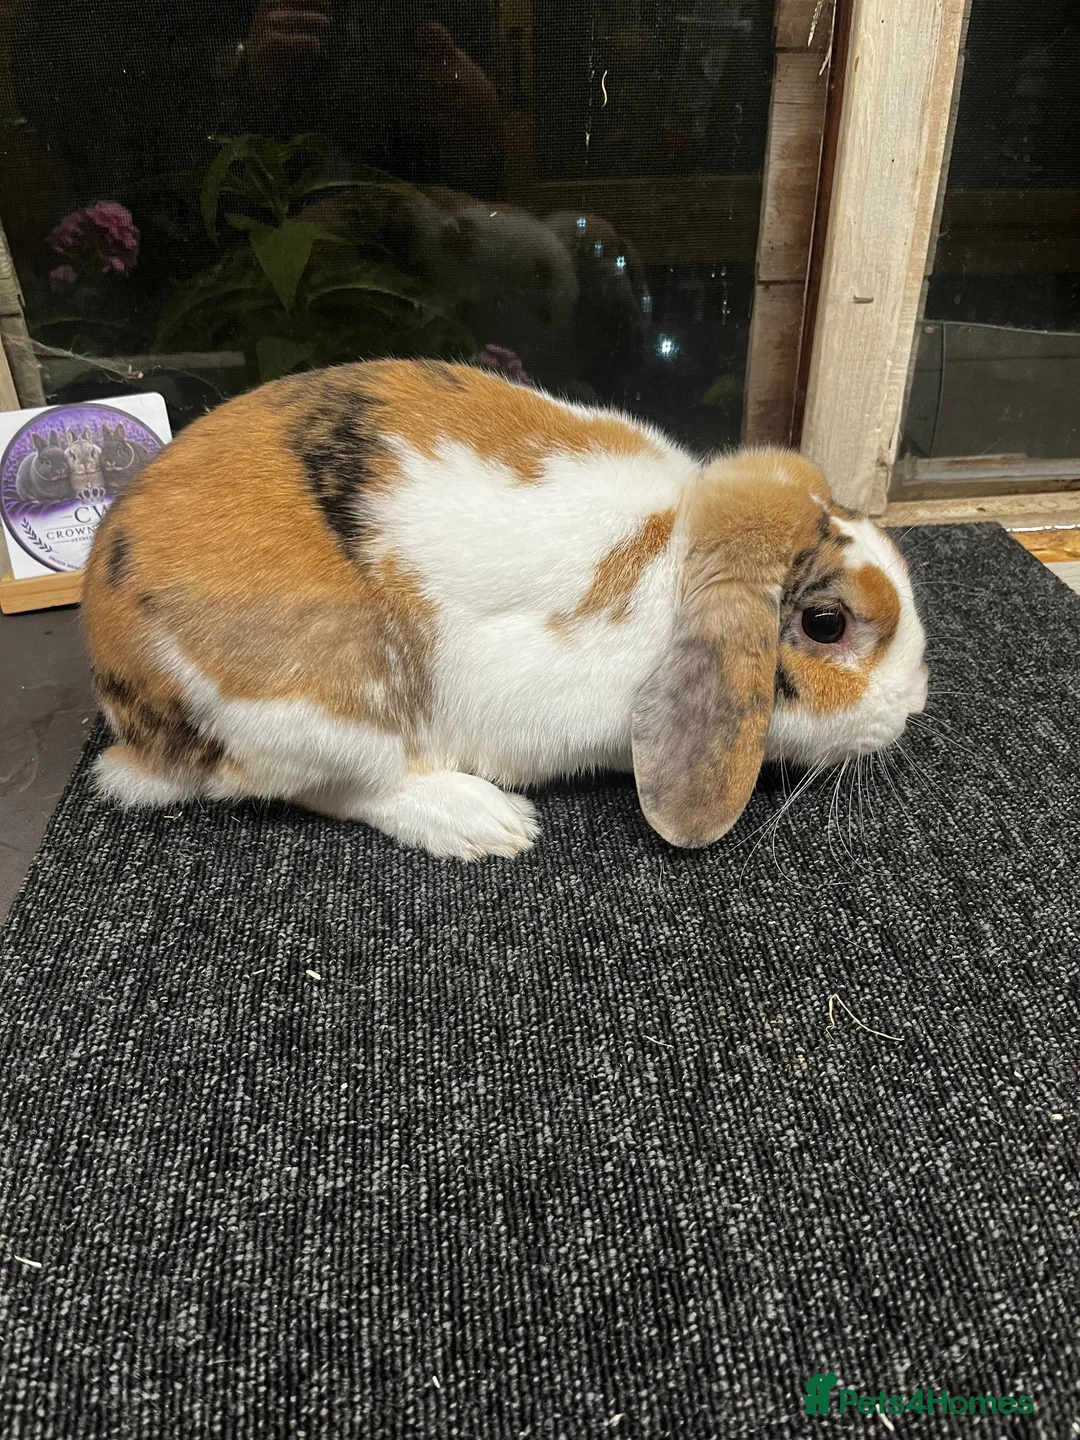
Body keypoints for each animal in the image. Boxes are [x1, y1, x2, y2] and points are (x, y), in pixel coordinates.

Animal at [82, 359, 928, 860]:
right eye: (827, 625)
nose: (916, 705)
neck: (677, 554)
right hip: (317, 707)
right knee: (337, 786)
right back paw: (486, 824)